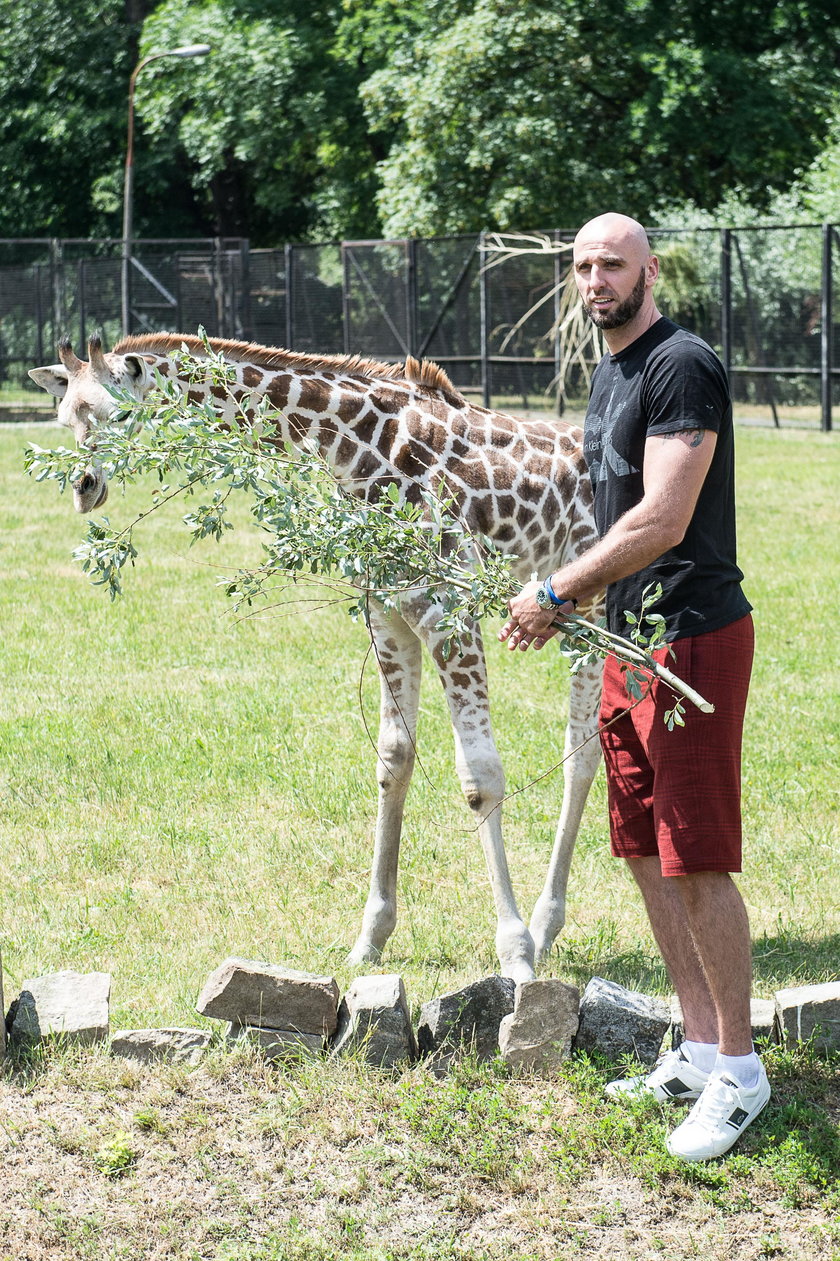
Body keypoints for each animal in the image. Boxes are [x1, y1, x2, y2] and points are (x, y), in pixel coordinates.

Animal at [27, 330, 602, 978]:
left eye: (120, 413)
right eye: (63, 418)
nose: (84, 488)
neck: (358, 451)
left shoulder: (448, 611)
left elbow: (480, 777)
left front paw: (514, 952)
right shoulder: (388, 615)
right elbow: (393, 761)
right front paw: (370, 939)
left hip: (593, 610)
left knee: (584, 751)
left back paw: (541, 929)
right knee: (586, 749)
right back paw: (548, 928)